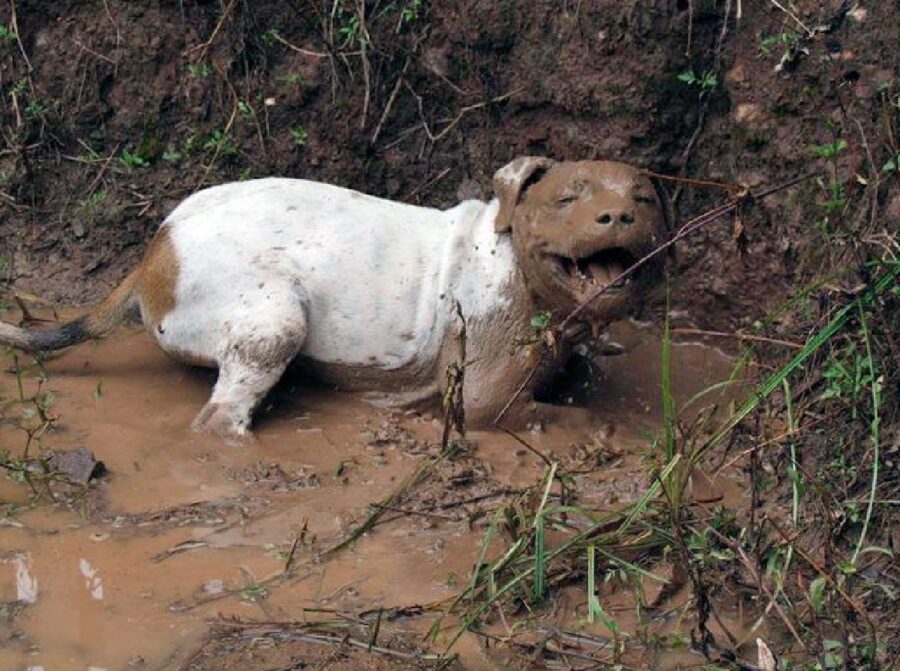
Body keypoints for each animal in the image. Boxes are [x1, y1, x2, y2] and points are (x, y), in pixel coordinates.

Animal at [0, 158, 668, 440]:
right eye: (567, 198)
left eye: (646, 198)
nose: (618, 216)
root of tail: (155, 249)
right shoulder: (484, 403)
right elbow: (561, 415)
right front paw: (611, 429)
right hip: (275, 319)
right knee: (220, 417)